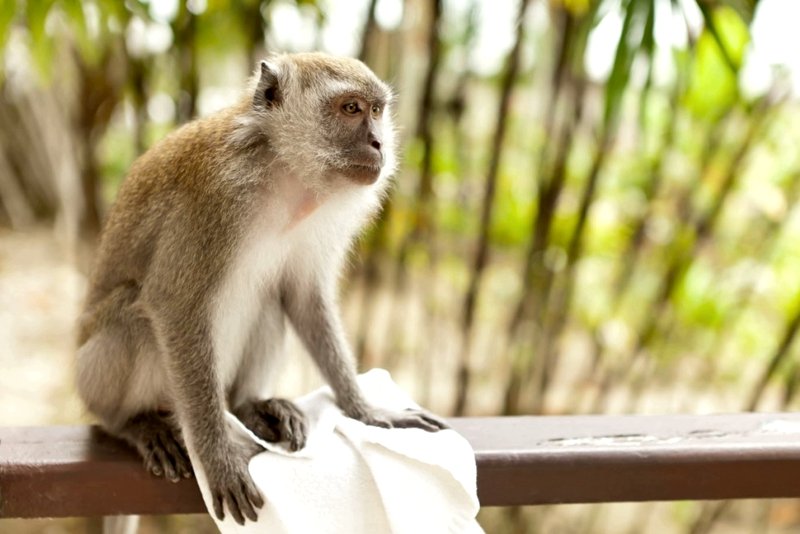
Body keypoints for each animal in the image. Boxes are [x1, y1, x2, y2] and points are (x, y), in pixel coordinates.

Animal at [76, 54, 446, 528]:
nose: (379, 143)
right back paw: (133, 423)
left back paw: (248, 405)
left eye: (378, 111)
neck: (284, 168)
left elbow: (303, 298)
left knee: (268, 302)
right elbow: (173, 304)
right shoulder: (212, 200)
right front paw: (217, 457)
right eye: (351, 109)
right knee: (132, 318)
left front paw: (365, 410)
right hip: (92, 380)